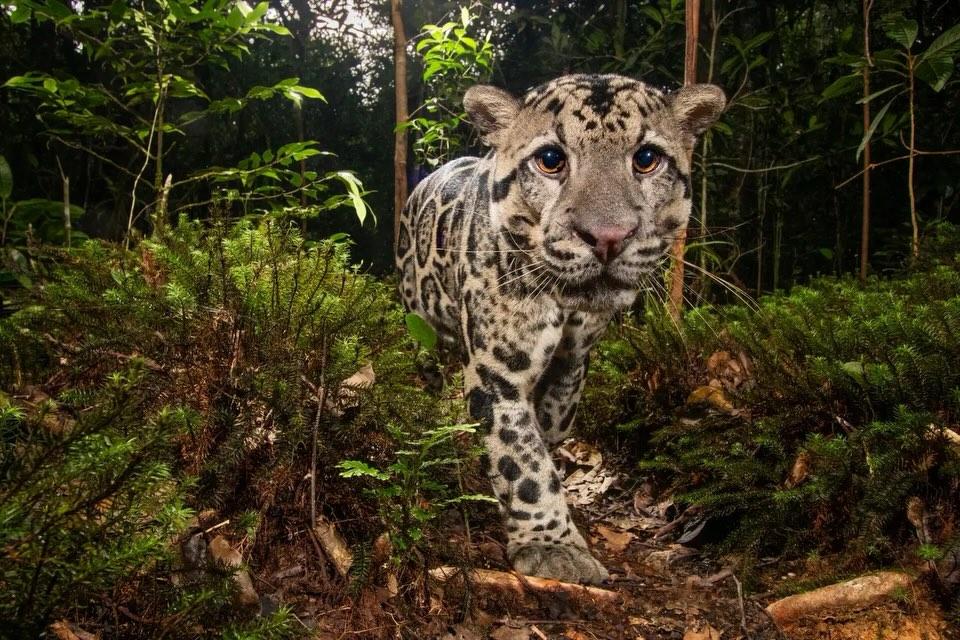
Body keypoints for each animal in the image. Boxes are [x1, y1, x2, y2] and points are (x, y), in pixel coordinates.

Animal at [395, 74, 725, 584]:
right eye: (551, 159)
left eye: (646, 158)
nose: (607, 237)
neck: (568, 306)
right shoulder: (496, 371)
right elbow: (522, 460)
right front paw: (552, 546)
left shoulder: (575, 359)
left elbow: (552, 422)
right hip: (419, 316)